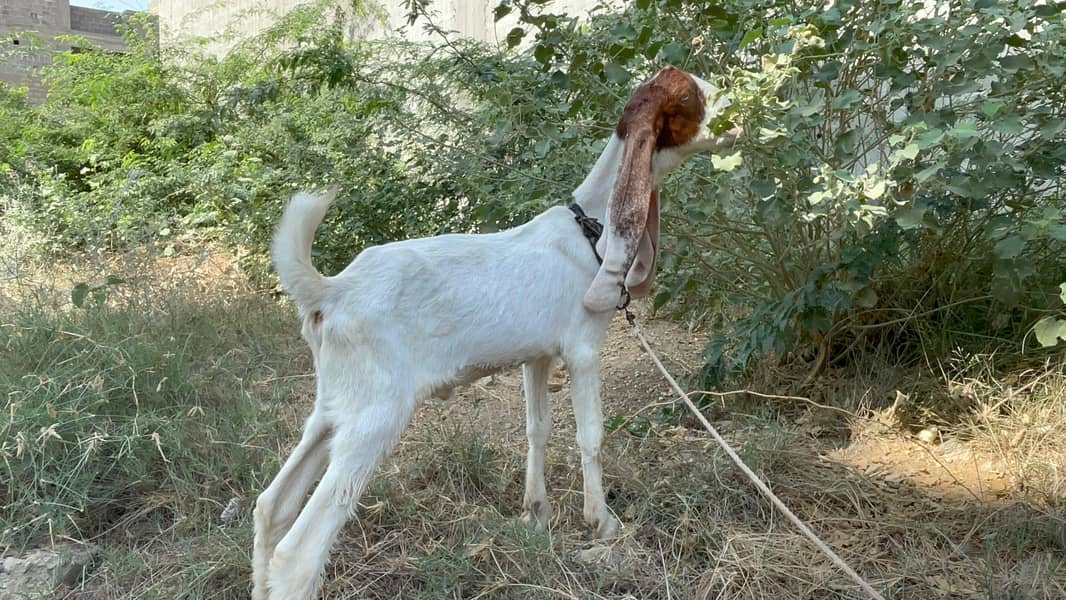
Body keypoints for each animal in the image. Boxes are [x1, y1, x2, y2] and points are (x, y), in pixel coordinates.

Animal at [252, 66, 738, 599]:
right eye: (691, 98)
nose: (737, 115)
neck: (591, 228)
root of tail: (333, 290)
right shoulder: (583, 349)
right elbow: (591, 434)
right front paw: (601, 522)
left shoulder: (537, 356)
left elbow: (537, 428)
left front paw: (535, 513)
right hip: (374, 418)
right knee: (298, 553)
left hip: (333, 410)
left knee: (271, 506)